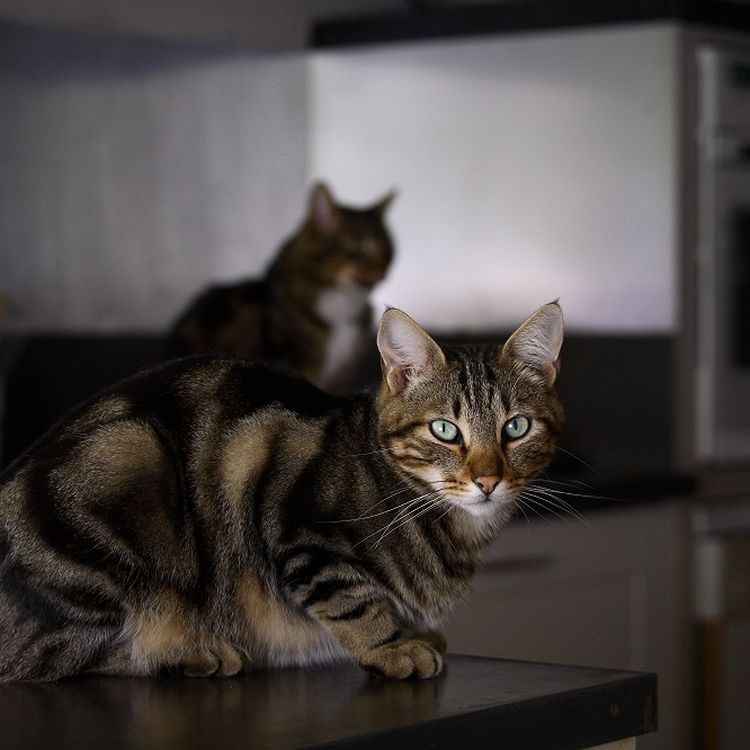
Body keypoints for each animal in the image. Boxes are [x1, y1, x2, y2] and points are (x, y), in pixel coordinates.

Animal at [0, 302, 564, 680]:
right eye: (445, 430)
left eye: (515, 427)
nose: (487, 480)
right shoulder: (296, 528)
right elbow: (352, 599)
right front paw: (393, 647)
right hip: (128, 461)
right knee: (56, 659)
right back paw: (188, 649)